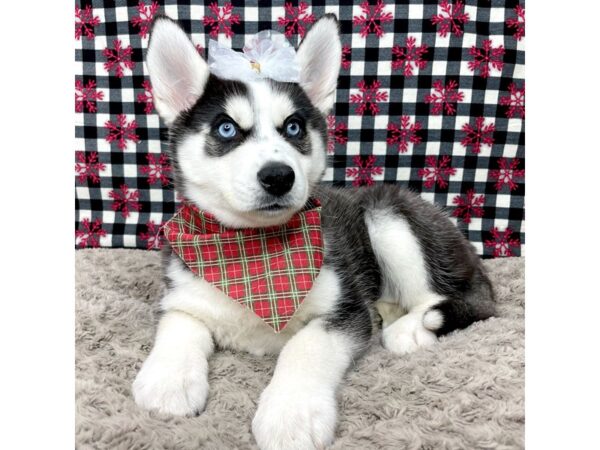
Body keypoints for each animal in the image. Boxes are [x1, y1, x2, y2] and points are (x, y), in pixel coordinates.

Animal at [134, 14, 494, 450]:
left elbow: (305, 346)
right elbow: (179, 325)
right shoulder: (182, 293)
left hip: (387, 216)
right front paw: (168, 381)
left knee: (453, 300)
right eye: (226, 129)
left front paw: (291, 413)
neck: (252, 251)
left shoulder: (346, 311)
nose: (278, 176)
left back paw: (410, 329)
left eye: (293, 128)